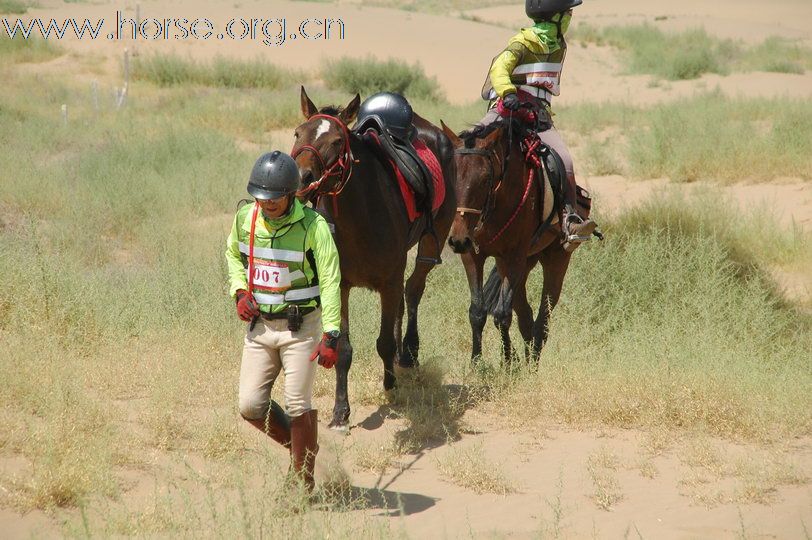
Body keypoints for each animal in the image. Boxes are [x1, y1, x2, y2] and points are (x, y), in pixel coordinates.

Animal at [292, 85, 456, 430]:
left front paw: (390, 384)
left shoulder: (388, 282)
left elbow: (383, 341)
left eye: (336, 141)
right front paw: (340, 412)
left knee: (413, 290)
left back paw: (407, 354)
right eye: (298, 133)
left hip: (430, 242)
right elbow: (342, 349)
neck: (359, 218)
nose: (300, 177)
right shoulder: (338, 286)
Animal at [444, 117, 572, 362]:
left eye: (485, 178)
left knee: (542, 318)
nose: (458, 240)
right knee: (526, 316)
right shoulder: (473, 255)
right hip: (518, 263)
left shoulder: (514, 257)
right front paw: (477, 363)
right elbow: (477, 311)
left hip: (555, 259)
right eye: (451, 176)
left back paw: (532, 362)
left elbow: (502, 313)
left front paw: (508, 362)